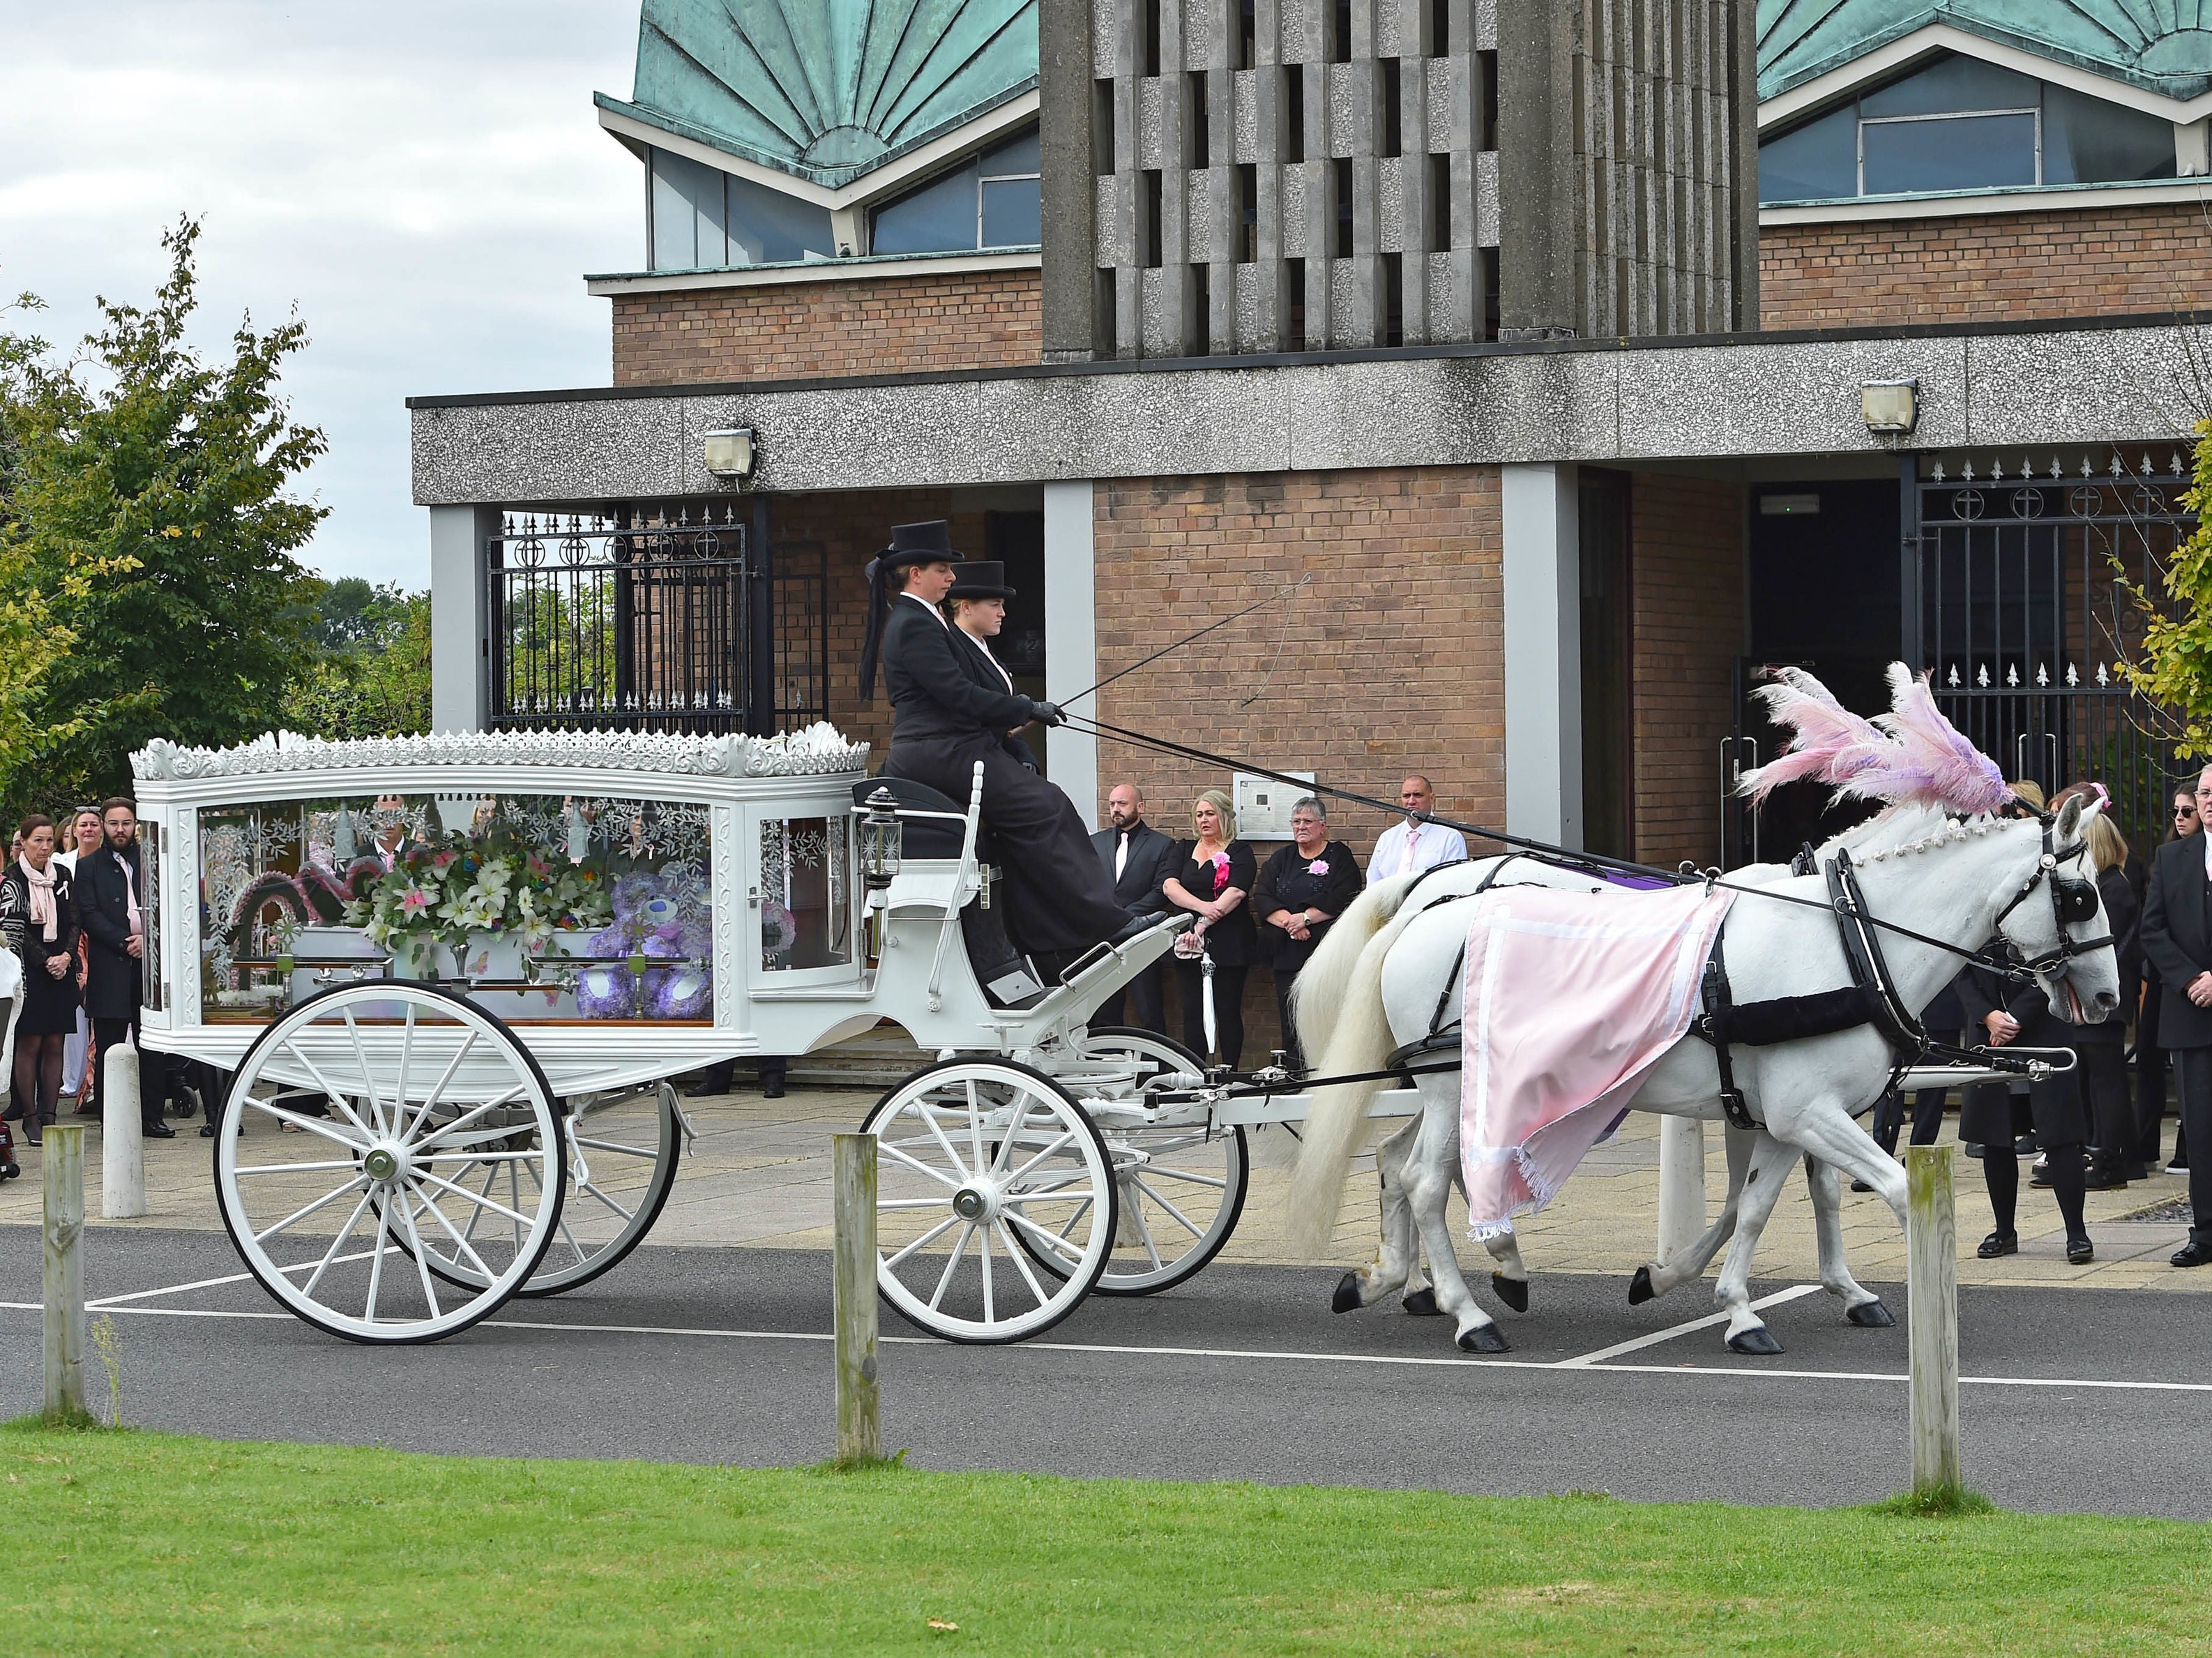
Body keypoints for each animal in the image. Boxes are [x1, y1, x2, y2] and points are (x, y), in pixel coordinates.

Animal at [1291, 797, 2114, 1355]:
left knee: (1396, 1162)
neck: (1847, 938)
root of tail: (1423, 910)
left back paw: (1398, 1278)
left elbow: (1758, 1207)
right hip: (1449, 1087)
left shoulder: (1789, 1116)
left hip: (1447, 1087)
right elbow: (1885, 1188)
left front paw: (1735, 1300)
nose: (2108, 998)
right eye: (2080, 896)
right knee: (1427, 1181)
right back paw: (1470, 1312)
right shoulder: (1804, 1112)